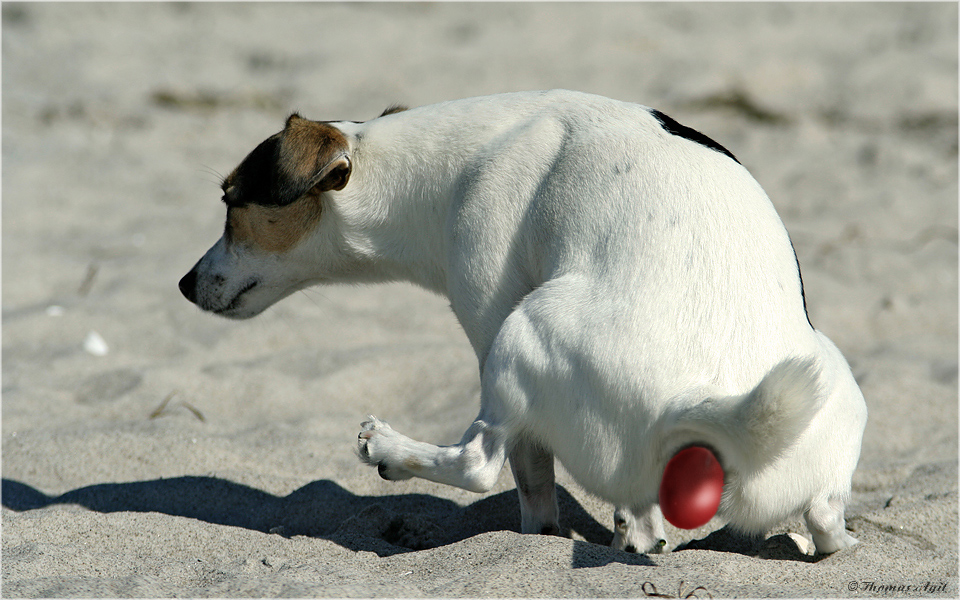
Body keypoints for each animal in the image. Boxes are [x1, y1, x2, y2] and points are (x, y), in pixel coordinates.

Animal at [180, 90, 872, 556]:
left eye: (231, 201)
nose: (185, 284)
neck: (438, 169)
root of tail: (700, 401)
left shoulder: (490, 323)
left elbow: (528, 485)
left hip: (524, 328)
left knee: (478, 463)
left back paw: (391, 449)